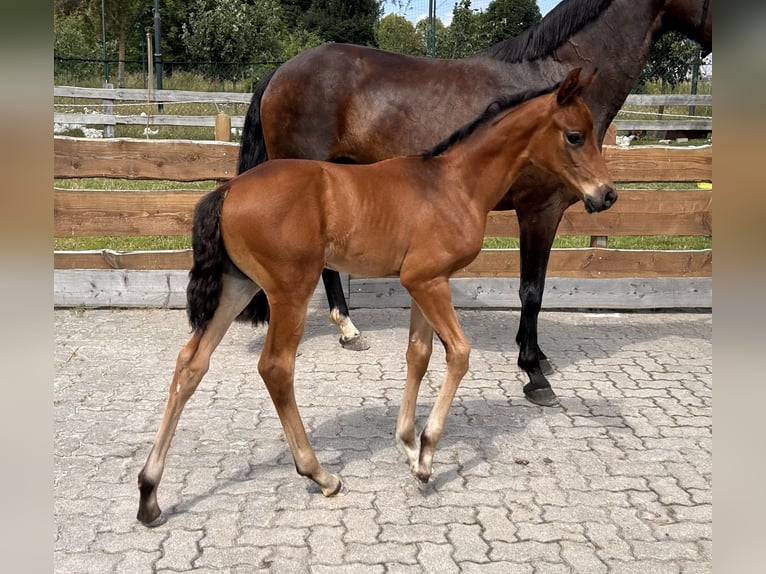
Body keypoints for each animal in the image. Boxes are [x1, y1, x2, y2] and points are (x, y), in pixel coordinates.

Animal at [137, 68, 615, 526]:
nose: (606, 194)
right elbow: (459, 354)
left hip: (238, 285)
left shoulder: (423, 282)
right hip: (289, 290)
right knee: (275, 367)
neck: (454, 183)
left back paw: (149, 493)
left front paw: (407, 445)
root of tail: (227, 189)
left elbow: (418, 354)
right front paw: (426, 454)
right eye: (575, 135)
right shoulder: (429, 281)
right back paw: (320, 474)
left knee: (191, 363)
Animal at [236, 0, 713, 407]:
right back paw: (346, 329)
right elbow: (532, 290)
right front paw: (534, 374)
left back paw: (348, 330)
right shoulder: (538, 209)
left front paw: (536, 355)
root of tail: (280, 71)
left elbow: (536, 287)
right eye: (574, 136)